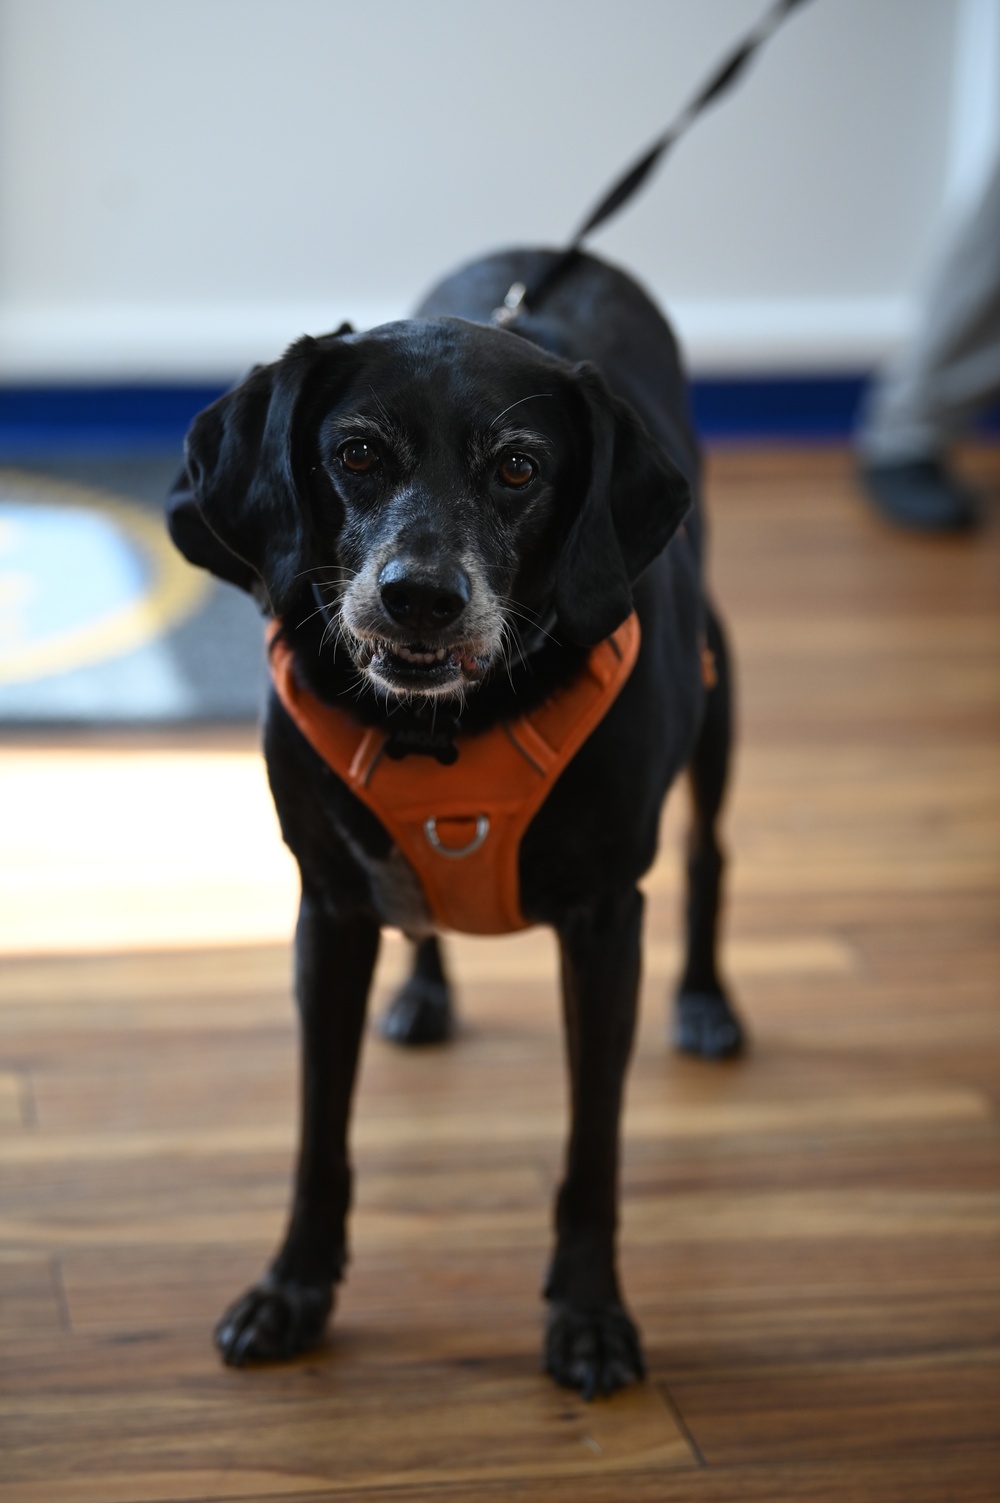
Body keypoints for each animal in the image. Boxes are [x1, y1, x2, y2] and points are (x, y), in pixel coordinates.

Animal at [165, 246, 739, 1394]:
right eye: (355, 453)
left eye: (518, 468)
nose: (419, 596)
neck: (445, 722)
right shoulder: (328, 912)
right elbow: (319, 1132)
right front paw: (292, 1288)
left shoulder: (605, 924)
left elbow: (592, 1148)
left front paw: (590, 1313)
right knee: (423, 917)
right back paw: (425, 990)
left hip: (718, 695)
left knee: (710, 853)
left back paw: (704, 1001)